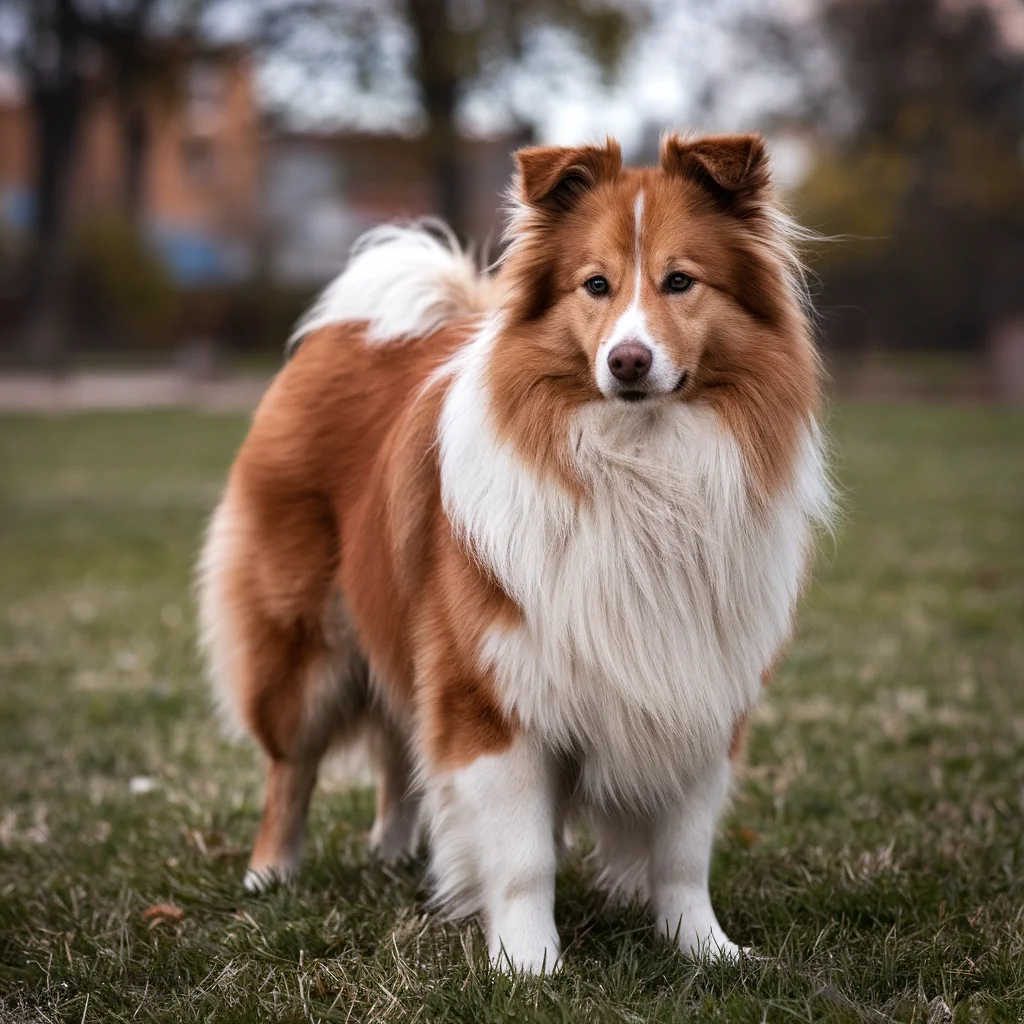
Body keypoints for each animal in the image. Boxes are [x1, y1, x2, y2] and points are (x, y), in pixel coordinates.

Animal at [193, 132, 831, 970]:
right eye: (595, 285)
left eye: (680, 281)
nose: (628, 361)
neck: (640, 466)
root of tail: (353, 329)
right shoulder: (491, 690)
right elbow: (523, 854)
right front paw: (527, 965)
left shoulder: (700, 686)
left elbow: (683, 852)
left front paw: (705, 949)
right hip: (305, 644)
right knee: (290, 767)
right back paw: (271, 873)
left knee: (399, 742)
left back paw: (394, 851)